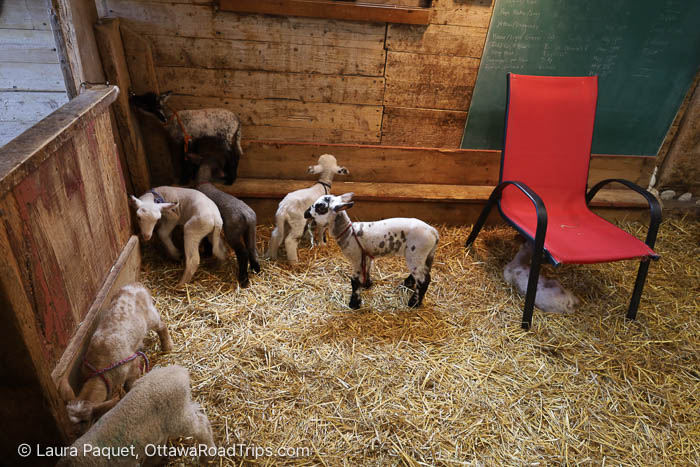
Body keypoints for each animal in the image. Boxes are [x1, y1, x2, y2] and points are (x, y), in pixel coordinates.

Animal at [57, 365, 215, 467]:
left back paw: (207, 456)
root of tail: (179, 372)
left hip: (178, 418)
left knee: (201, 425)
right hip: (178, 413)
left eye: (83, 422)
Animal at [58, 283, 173, 435]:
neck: (100, 371)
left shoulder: (131, 365)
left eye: (85, 423)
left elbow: (129, 385)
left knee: (162, 326)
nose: (75, 436)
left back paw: (167, 346)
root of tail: (135, 286)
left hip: (150, 315)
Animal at [193, 152, 261, 287]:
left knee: (243, 253)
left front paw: (206, 253)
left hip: (232, 232)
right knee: (252, 249)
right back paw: (256, 270)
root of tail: (248, 215)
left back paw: (243, 279)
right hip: (251, 230)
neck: (204, 182)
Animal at [304, 193, 439, 309]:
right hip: (426, 255)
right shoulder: (366, 256)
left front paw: (354, 304)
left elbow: (354, 281)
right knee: (425, 273)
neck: (348, 232)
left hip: (415, 254)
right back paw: (407, 284)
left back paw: (414, 303)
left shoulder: (356, 258)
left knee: (423, 280)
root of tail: (434, 232)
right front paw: (367, 284)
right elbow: (367, 270)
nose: (306, 213)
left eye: (320, 207)